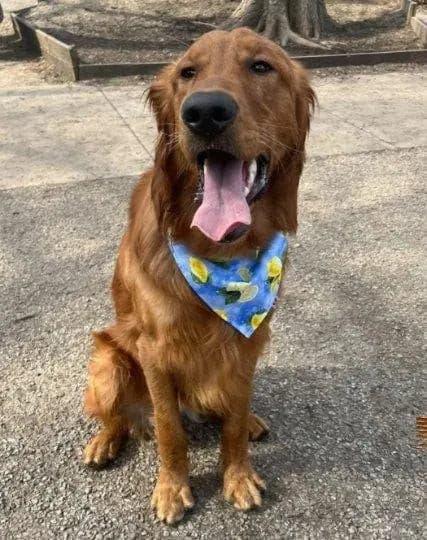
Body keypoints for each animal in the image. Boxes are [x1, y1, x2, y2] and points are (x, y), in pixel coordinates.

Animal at [83, 28, 314, 524]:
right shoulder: (154, 350)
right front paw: (172, 487)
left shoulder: (249, 342)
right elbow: (171, 431)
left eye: (261, 66)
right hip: (109, 362)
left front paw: (237, 474)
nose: (205, 112)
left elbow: (234, 418)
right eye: (188, 72)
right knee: (118, 415)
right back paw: (104, 441)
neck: (221, 254)